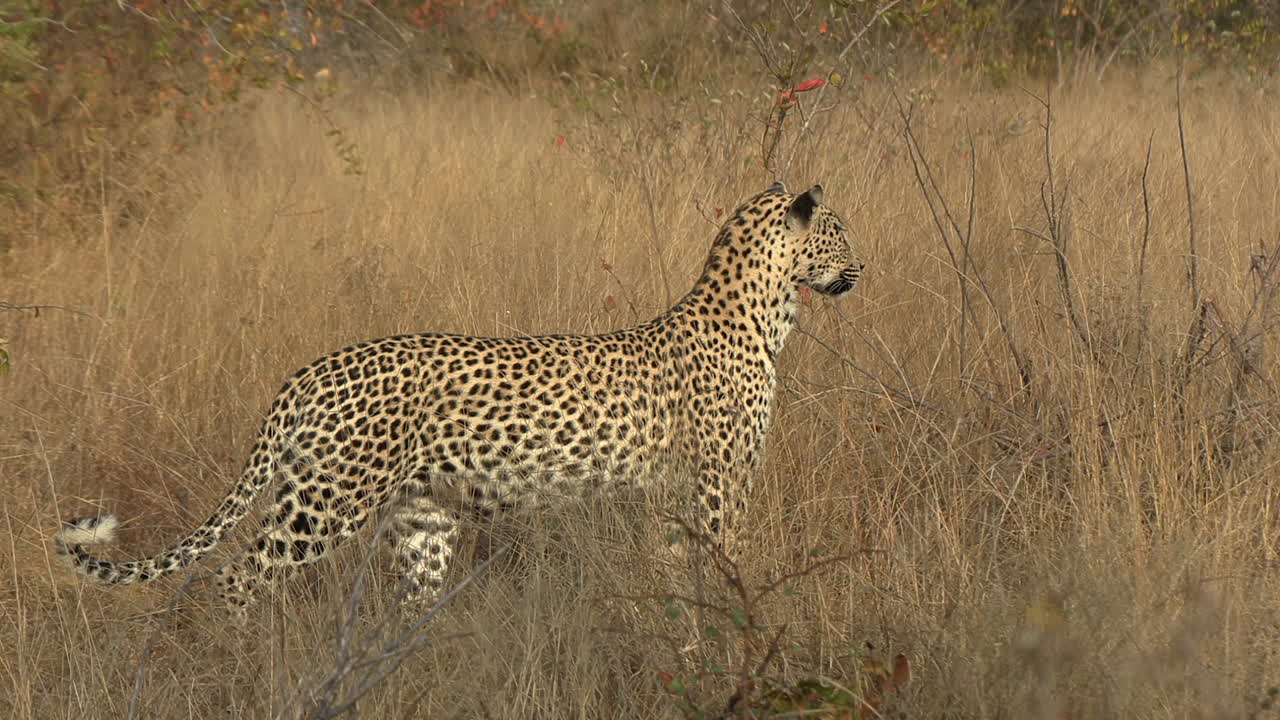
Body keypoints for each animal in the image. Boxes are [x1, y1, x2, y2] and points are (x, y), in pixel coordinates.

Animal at [55, 182, 865, 620]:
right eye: (840, 231)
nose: (861, 266)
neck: (765, 315)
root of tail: (309, 372)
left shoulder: (672, 501)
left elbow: (673, 577)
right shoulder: (720, 489)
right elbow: (728, 570)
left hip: (421, 522)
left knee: (403, 606)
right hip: (324, 502)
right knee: (234, 575)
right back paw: (251, 662)